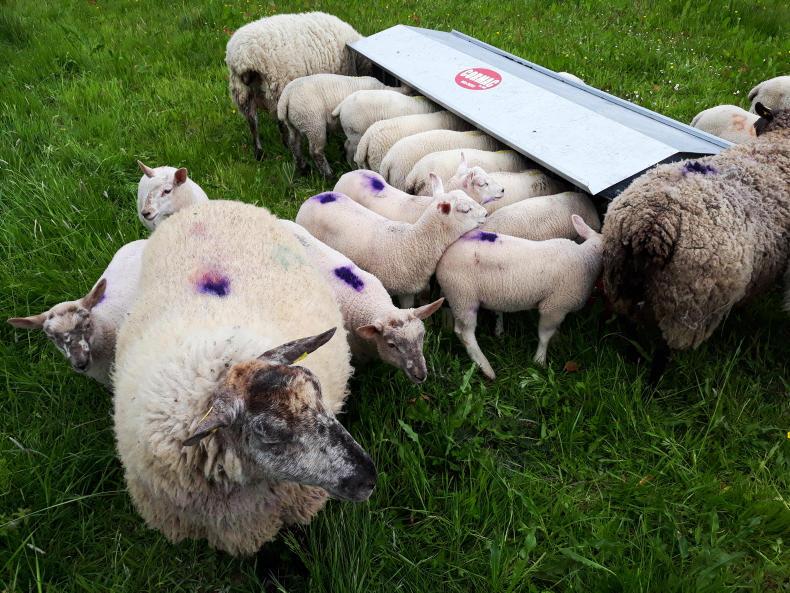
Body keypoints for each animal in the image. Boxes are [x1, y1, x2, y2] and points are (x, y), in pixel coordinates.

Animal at [226, 12, 368, 160]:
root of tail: (243, 58)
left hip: (242, 93)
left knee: (253, 123)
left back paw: (259, 153)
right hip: (277, 88)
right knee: (281, 123)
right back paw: (286, 145)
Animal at [277, 75, 408, 177]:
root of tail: (286, 97)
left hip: (294, 123)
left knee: (294, 143)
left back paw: (302, 167)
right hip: (313, 122)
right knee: (316, 151)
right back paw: (328, 174)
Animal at [295, 177, 487, 308]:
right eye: (465, 210)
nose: (486, 213)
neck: (415, 241)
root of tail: (314, 197)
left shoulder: (410, 289)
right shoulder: (398, 289)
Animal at [436, 216, 603, 380]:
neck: (585, 259)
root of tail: (443, 255)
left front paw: (558, 340)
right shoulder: (553, 306)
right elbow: (544, 336)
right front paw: (539, 361)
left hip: (455, 295)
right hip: (463, 296)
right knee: (464, 332)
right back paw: (486, 368)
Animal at [601, 104, 790, 374]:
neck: (780, 143)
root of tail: (655, 221)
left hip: (620, 277)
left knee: (628, 325)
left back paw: (632, 359)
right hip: (688, 307)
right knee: (664, 350)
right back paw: (654, 381)